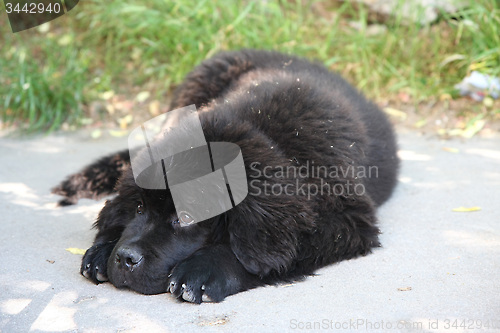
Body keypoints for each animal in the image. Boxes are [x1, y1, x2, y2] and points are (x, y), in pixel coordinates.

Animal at [53, 50, 398, 304]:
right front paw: (103, 248)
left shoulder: (345, 221)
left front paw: (205, 270)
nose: (124, 258)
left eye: (186, 217)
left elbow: (269, 252)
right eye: (139, 208)